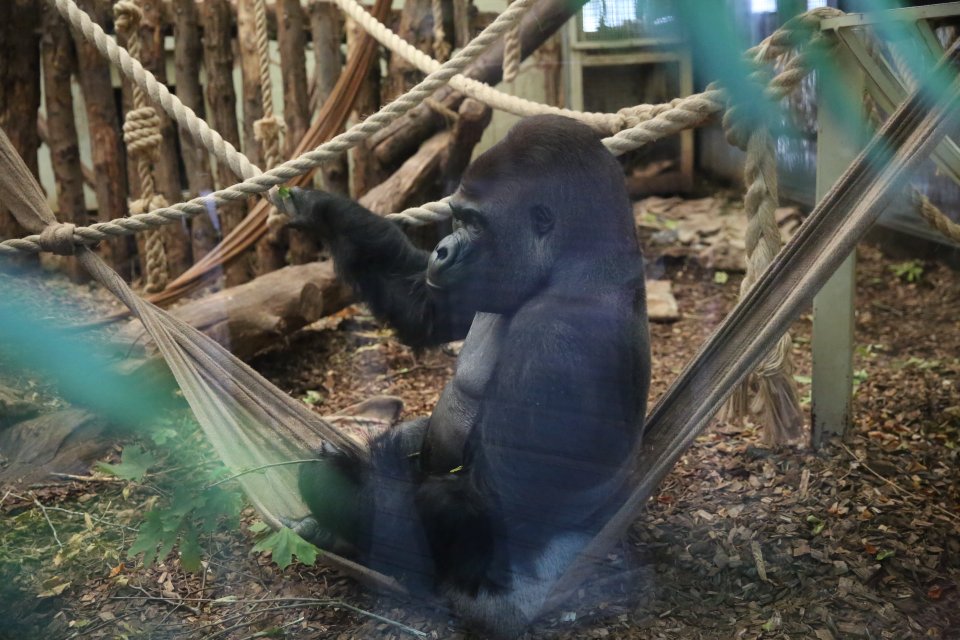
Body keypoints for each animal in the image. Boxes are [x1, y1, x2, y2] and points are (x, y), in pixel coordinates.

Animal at [282, 114, 648, 636]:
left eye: (474, 223)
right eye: (456, 217)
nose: (441, 250)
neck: (574, 265)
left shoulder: (559, 339)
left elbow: (489, 511)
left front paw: (336, 479)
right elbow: (425, 306)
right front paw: (321, 210)